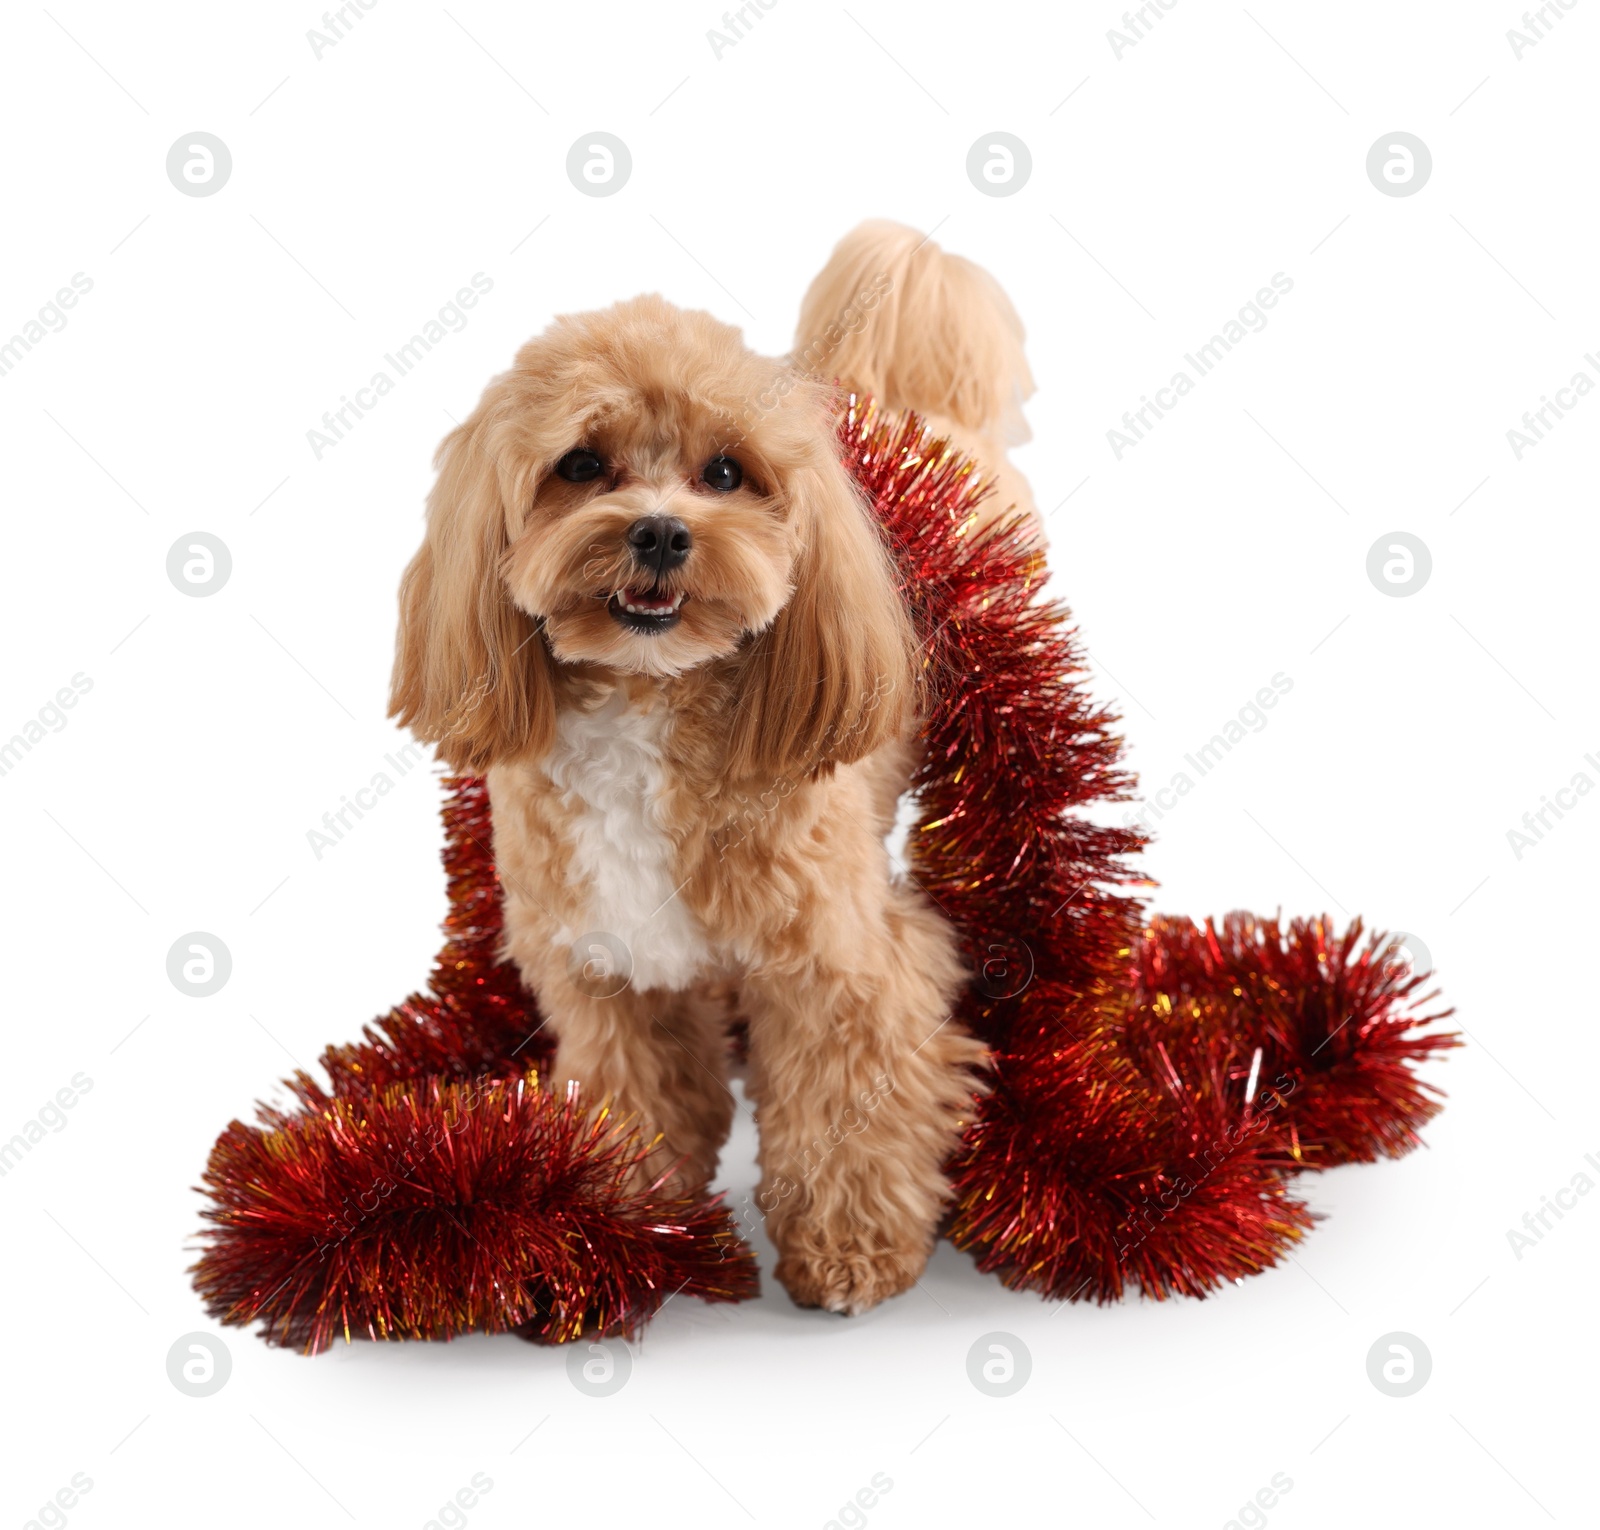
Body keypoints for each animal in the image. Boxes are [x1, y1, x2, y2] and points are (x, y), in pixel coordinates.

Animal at [388, 217, 1036, 1312]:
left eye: (726, 474)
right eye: (581, 465)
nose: (658, 530)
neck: (648, 705)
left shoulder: (841, 962)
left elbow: (850, 1111)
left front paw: (848, 1255)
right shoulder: (608, 968)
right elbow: (642, 1096)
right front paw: (627, 1222)